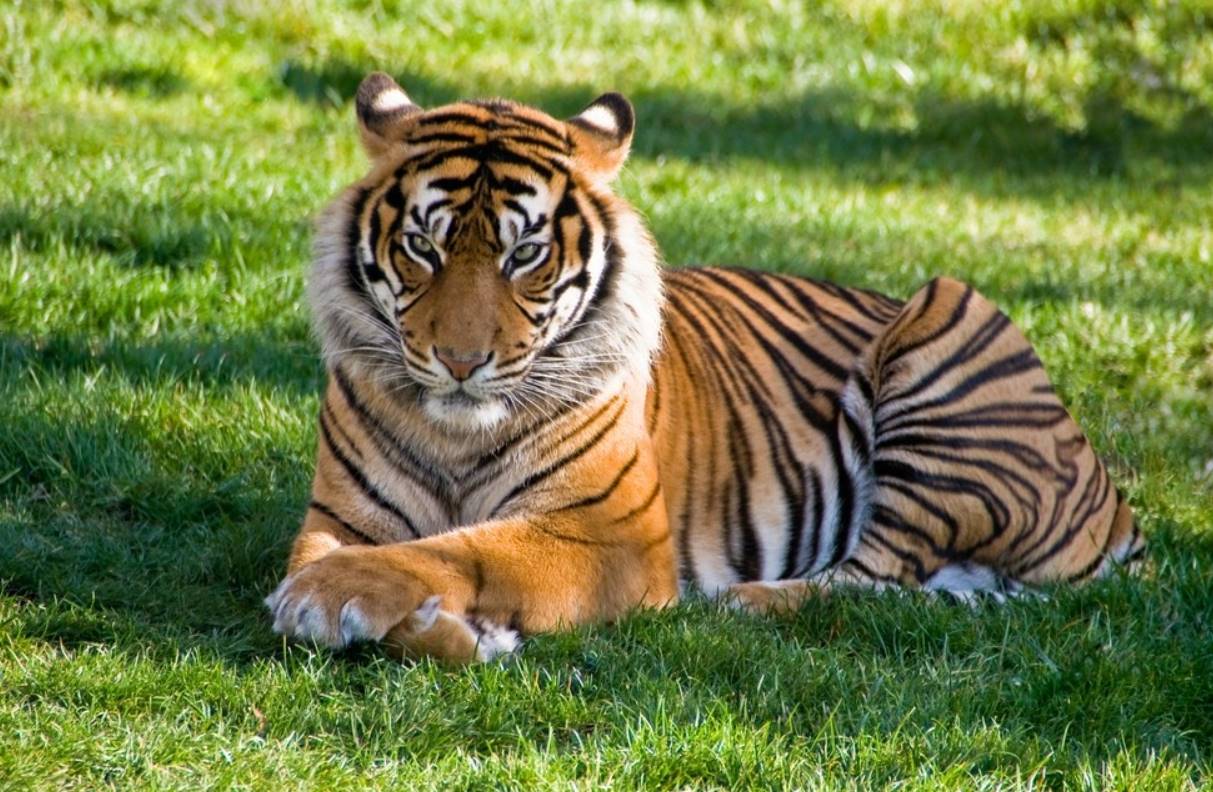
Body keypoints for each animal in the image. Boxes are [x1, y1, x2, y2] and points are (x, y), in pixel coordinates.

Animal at [265, 72, 1144, 663]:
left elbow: (462, 549)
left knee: (875, 576)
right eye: (423, 246)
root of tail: (1115, 506)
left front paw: (330, 599)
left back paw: (742, 602)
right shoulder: (340, 514)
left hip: (948, 314)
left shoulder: (608, 534)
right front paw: (438, 627)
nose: (458, 362)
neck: (457, 434)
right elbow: (356, 554)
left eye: (524, 255)